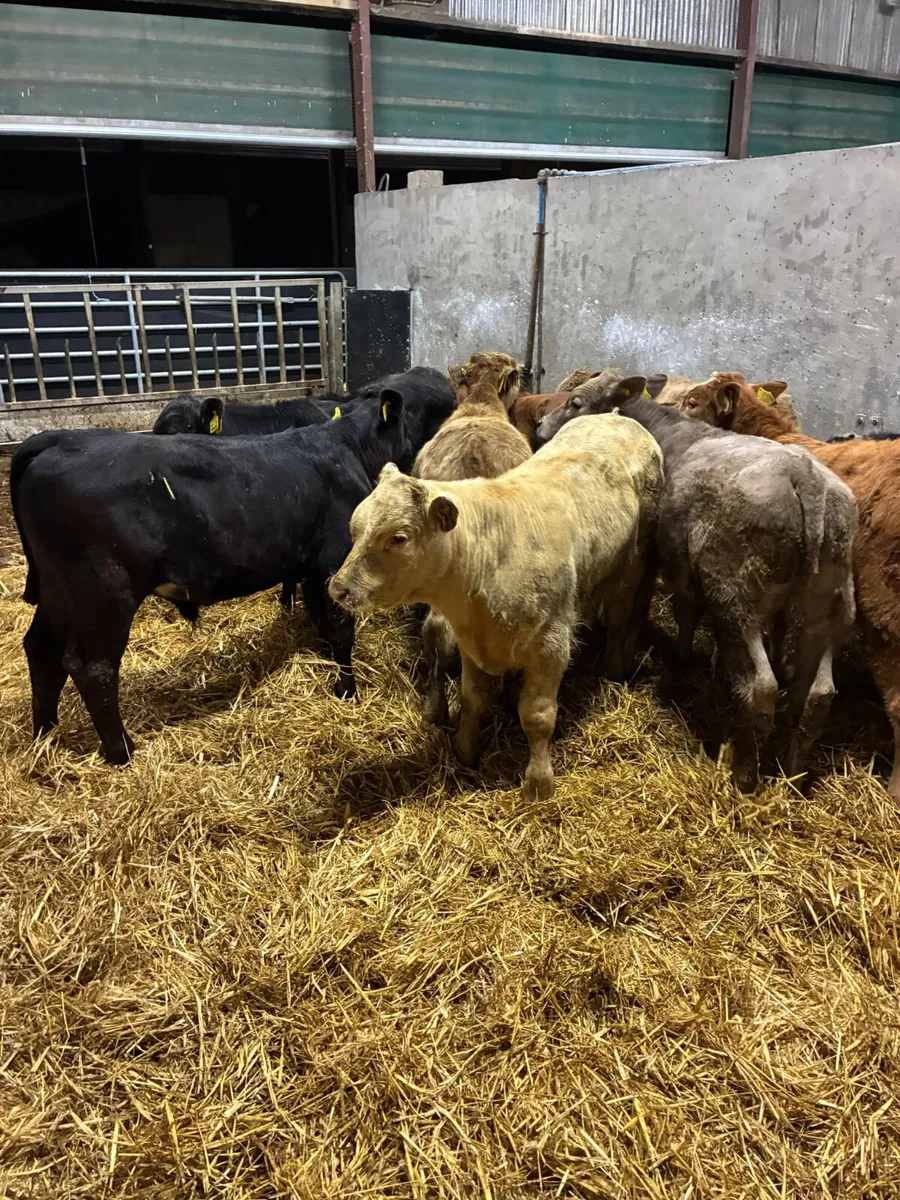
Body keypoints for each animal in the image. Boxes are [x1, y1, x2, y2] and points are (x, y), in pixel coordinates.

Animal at [11, 391, 417, 765]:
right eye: (404, 426)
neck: (348, 448)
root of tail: (57, 440)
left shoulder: (311, 566)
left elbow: (319, 617)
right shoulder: (334, 558)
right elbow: (340, 628)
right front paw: (347, 690)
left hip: (59, 589)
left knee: (41, 649)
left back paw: (45, 733)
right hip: (106, 590)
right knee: (93, 667)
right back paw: (120, 751)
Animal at [328, 411, 664, 800]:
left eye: (399, 537)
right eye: (355, 527)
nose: (338, 588)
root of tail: (615, 416)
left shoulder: (551, 648)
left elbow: (537, 716)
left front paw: (539, 783)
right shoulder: (472, 644)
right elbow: (472, 699)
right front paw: (465, 750)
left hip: (636, 561)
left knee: (622, 613)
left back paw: (615, 668)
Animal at [537, 375, 857, 791]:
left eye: (575, 402)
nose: (540, 426)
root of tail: (805, 477)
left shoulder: (664, 558)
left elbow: (673, 611)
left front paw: (672, 663)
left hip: (736, 599)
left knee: (763, 686)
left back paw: (744, 775)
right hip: (828, 608)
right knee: (818, 694)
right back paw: (792, 775)